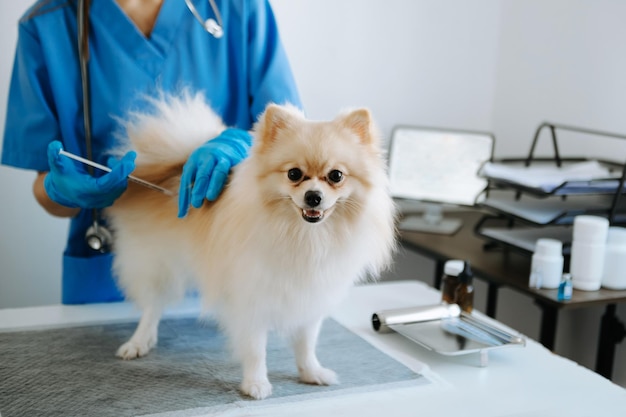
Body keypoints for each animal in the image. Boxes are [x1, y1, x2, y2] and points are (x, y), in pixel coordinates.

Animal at [103, 92, 394, 398]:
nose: (313, 196)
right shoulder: (251, 298)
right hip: (156, 264)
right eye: (294, 174)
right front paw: (256, 383)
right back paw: (139, 341)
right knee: (152, 307)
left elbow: (306, 342)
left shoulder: (311, 295)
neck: (304, 236)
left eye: (336, 176)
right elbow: (255, 348)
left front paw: (311, 372)